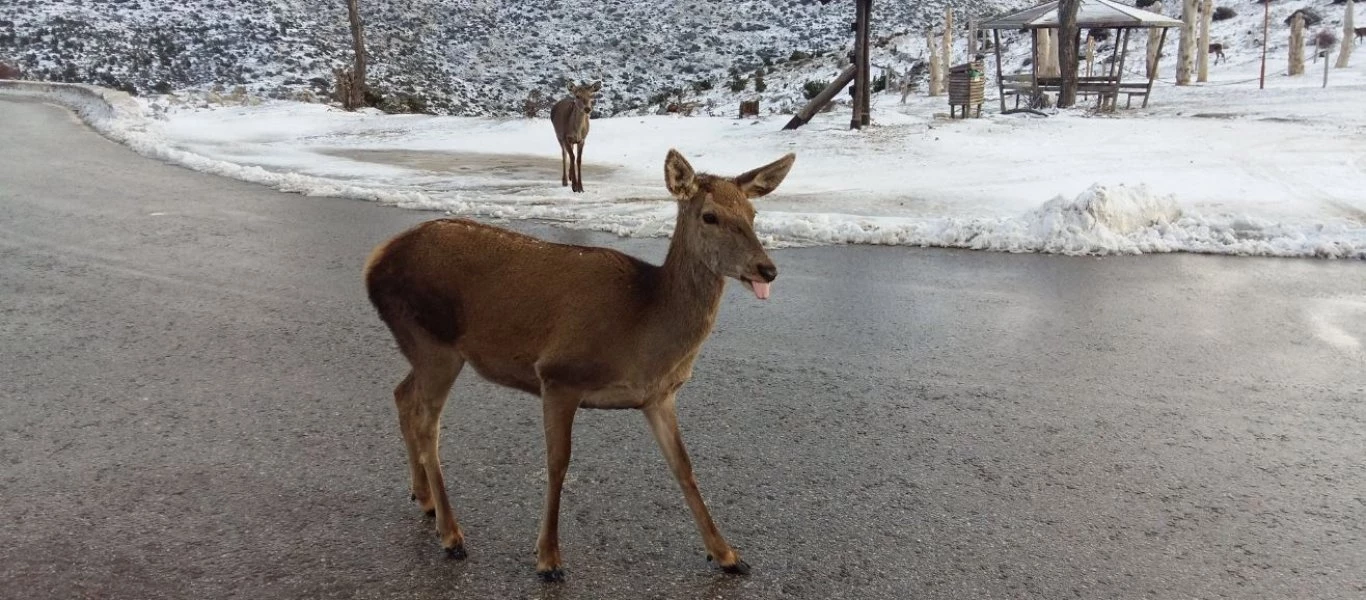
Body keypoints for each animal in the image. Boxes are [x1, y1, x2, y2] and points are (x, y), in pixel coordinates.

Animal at [363, 146, 797, 582]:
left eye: (753, 214)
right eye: (710, 216)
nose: (768, 269)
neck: (643, 326)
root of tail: (374, 261)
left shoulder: (658, 396)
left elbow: (684, 466)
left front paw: (727, 554)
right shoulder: (558, 374)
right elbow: (558, 464)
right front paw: (549, 558)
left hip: (425, 348)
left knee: (402, 395)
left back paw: (424, 499)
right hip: (435, 343)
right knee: (427, 424)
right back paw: (451, 534)